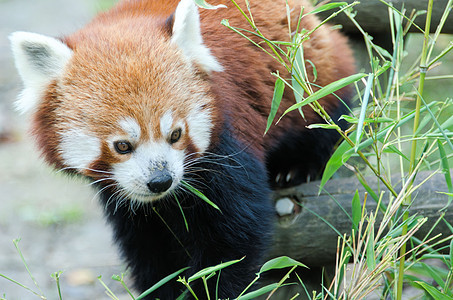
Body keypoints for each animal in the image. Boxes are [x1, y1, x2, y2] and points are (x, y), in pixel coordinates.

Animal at [9, 0, 354, 298]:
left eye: (175, 134)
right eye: (122, 145)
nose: (161, 181)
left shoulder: (226, 141)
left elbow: (233, 240)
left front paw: (210, 289)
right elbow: (149, 251)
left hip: (310, 77)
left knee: (326, 118)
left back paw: (297, 166)